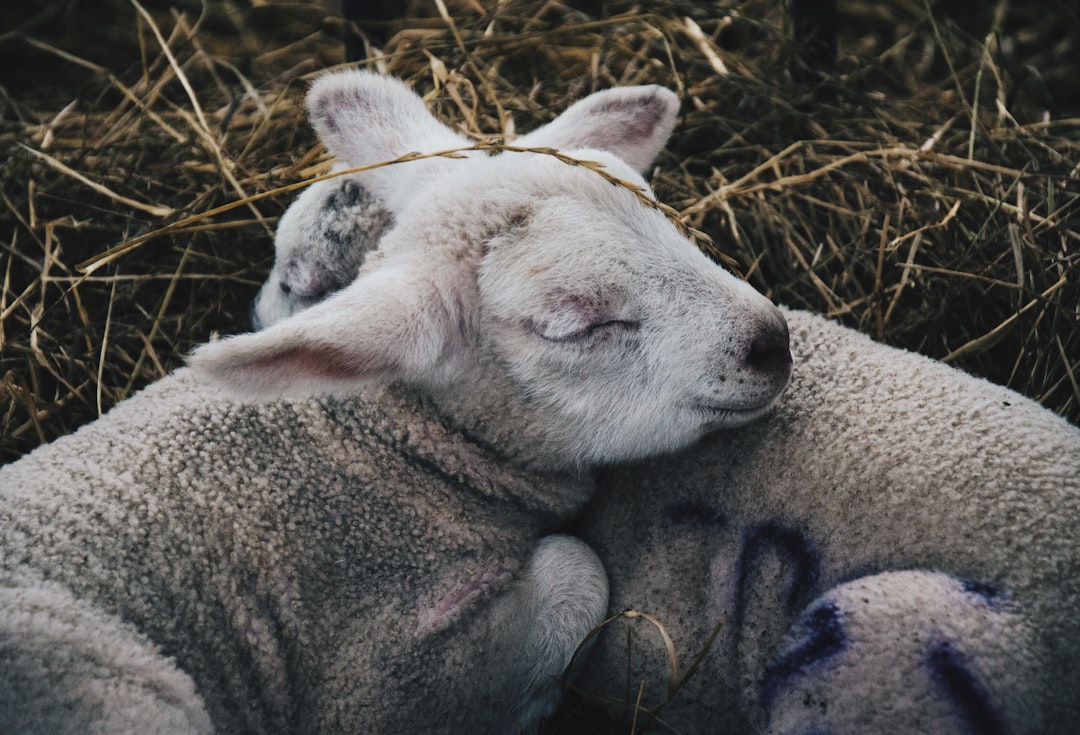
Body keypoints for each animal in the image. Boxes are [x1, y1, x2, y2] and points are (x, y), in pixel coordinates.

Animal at [0, 70, 794, 733]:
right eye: (576, 323)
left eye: (663, 217)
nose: (773, 341)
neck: (383, 442)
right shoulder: (379, 684)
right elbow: (577, 567)